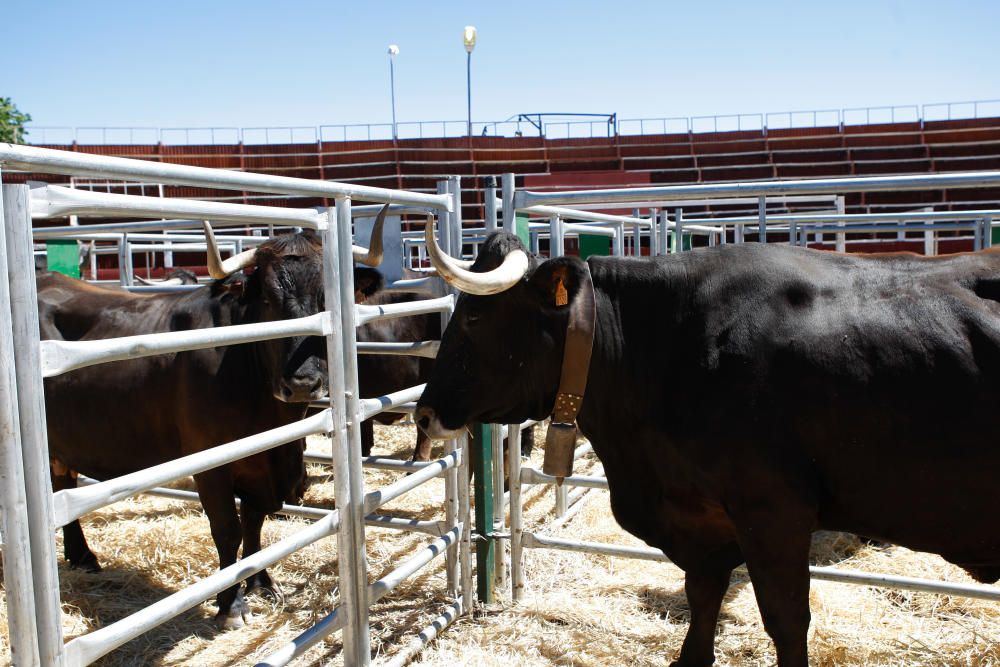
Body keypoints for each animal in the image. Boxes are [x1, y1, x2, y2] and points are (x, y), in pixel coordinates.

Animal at [418, 232, 1000, 664]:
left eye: (474, 317)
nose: (422, 415)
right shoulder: (700, 517)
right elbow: (702, 596)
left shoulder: (773, 512)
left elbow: (786, 619)